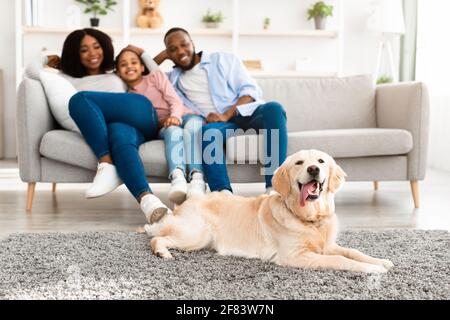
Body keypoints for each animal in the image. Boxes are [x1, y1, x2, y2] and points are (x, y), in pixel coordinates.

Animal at [145, 150, 394, 272]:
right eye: (299, 163)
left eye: (321, 161)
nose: (313, 169)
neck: (310, 219)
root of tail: (185, 204)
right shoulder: (295, 255)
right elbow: (340, 260)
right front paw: (372, 269)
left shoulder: (327, 246)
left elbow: (352, 251)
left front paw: (380, 261)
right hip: (197, 235)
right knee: (156, 238)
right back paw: (162, 252)